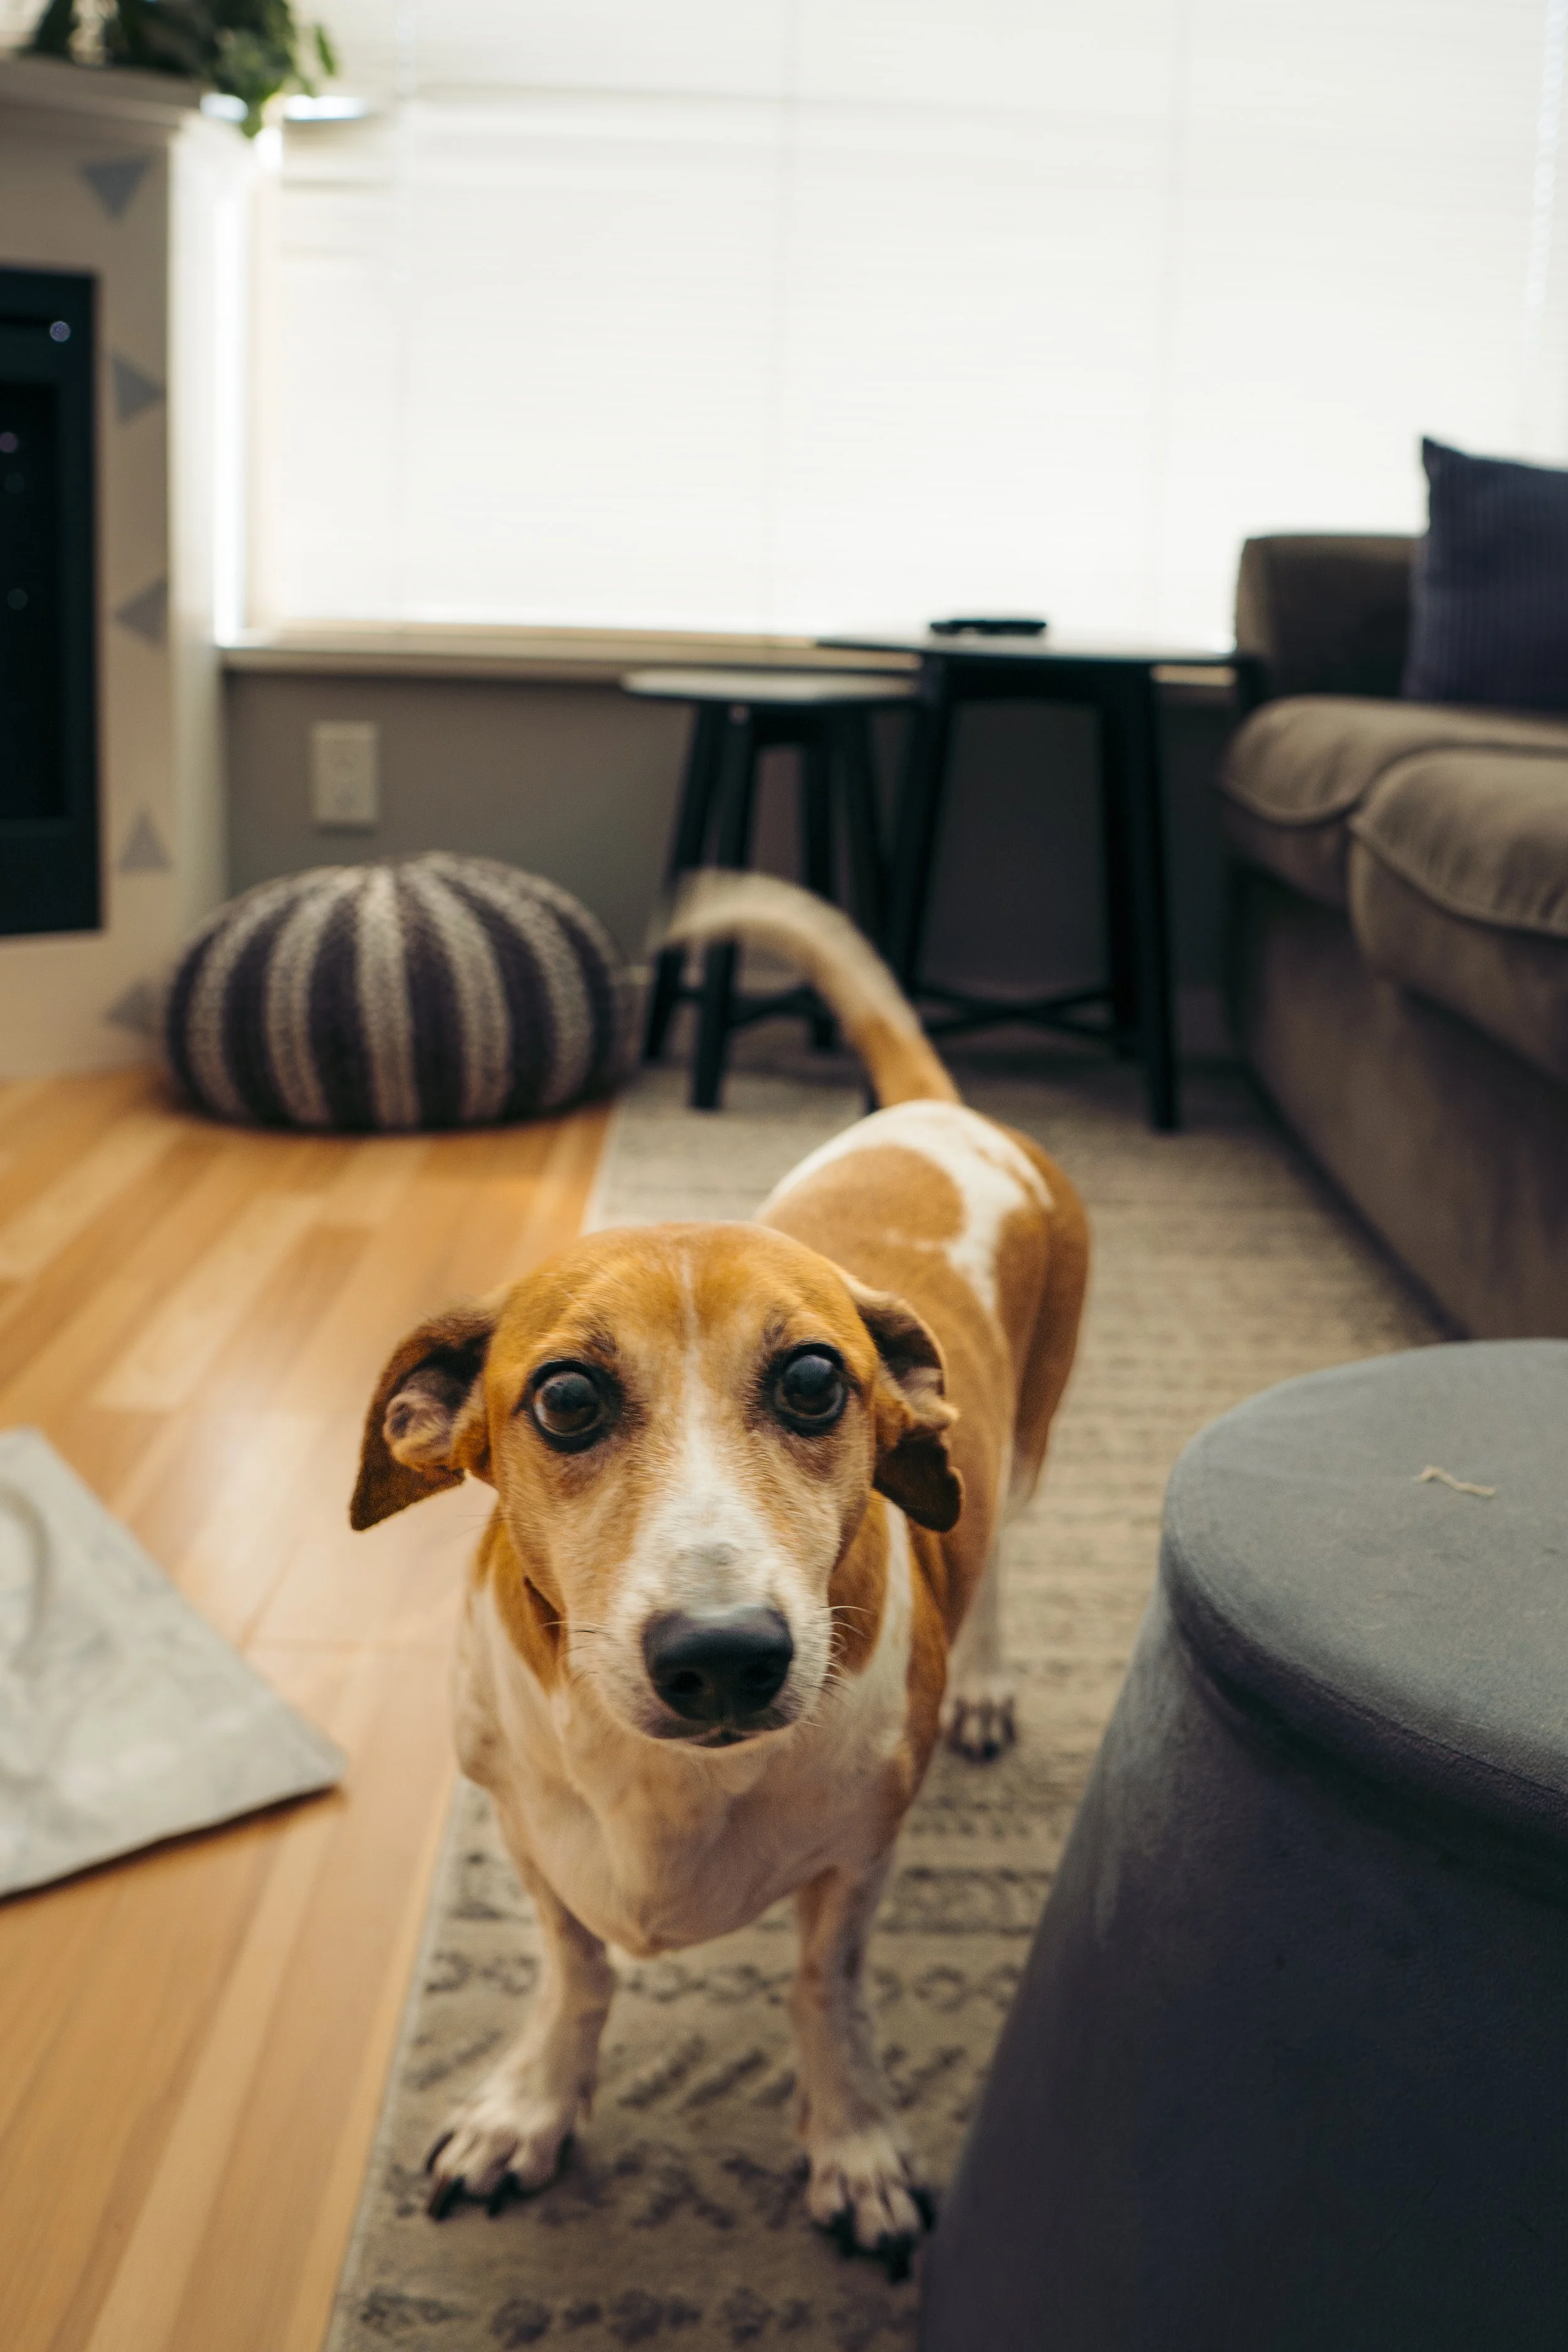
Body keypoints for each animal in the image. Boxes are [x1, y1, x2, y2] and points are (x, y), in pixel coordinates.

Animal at [350, 874, 1089, 2269]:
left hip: (1023, 1447)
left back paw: (984, 1684)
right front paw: (531, 2107)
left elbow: (823, 1988)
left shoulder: (859, 1859)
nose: (724, 1658)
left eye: (812, 1380)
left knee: (1006, 1551)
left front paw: (852, 2143)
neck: (666, 1790)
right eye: (566, 1398)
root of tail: (939, 1113)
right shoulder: (525, 1828)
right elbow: (575, 1968)